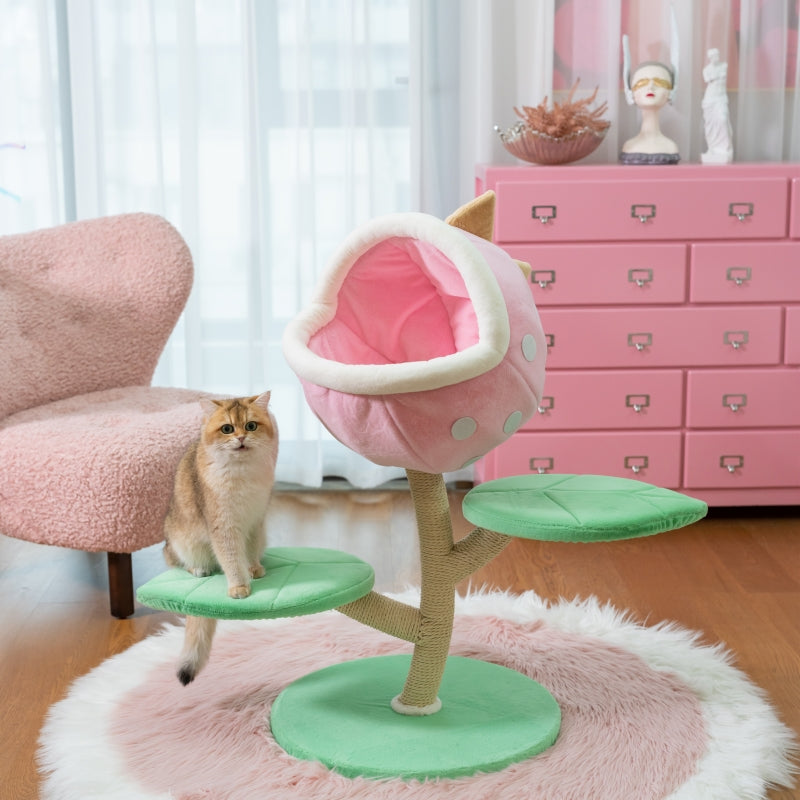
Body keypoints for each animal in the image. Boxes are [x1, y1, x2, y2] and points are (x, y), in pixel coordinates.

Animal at [162, 390, 278, 684]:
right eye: (227, 429)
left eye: (251, 425)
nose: (241, 439)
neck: (242, 473)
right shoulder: (223, 526)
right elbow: (231, 558)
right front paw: (239, 587)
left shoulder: (256, 520)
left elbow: (250, 549)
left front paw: (254, 569)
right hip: (181, 544)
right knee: (178, 563)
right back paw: (199, 569)